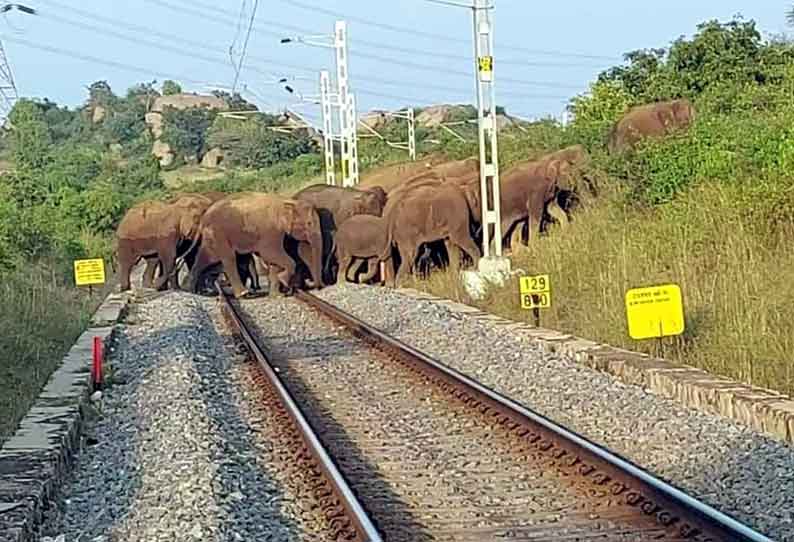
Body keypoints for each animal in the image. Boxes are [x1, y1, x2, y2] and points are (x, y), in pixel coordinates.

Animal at [186, 193, 322, 300]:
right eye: (309, 223)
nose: (313, 285)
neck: (284, 201)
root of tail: (204, 217)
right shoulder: (270, 231)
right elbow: (270, 254)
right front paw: (283, 280)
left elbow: (273, 260)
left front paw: (277, 295)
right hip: (218, 233)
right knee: (229, 258)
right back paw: (243, 293)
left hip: (211, 236)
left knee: (206, 258)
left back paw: (193, 291)